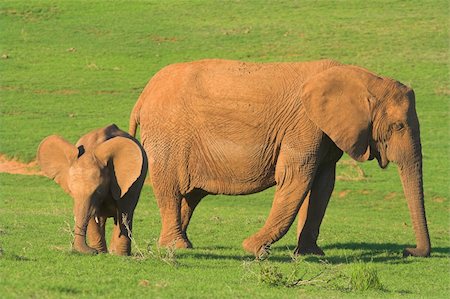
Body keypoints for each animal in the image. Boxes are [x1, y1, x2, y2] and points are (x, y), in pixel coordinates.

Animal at [38, 124, 148, 255]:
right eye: (72, 192)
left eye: (98, 191)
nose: (92, 251)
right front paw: (99, 252)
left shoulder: (127, 182)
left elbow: (124, 212)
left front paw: (119, 255)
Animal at [129, 59, 428, 258]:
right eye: (398, 126)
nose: (407, 250)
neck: (363, 79)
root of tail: (142, 97)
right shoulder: (304, 125)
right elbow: (296, 177)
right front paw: (252, 249)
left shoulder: (326, 132)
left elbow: (323, 185)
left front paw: (310, 254)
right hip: (167, 134)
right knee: (170, 189)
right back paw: (178, 246)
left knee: (190, 196)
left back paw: (180, 243)